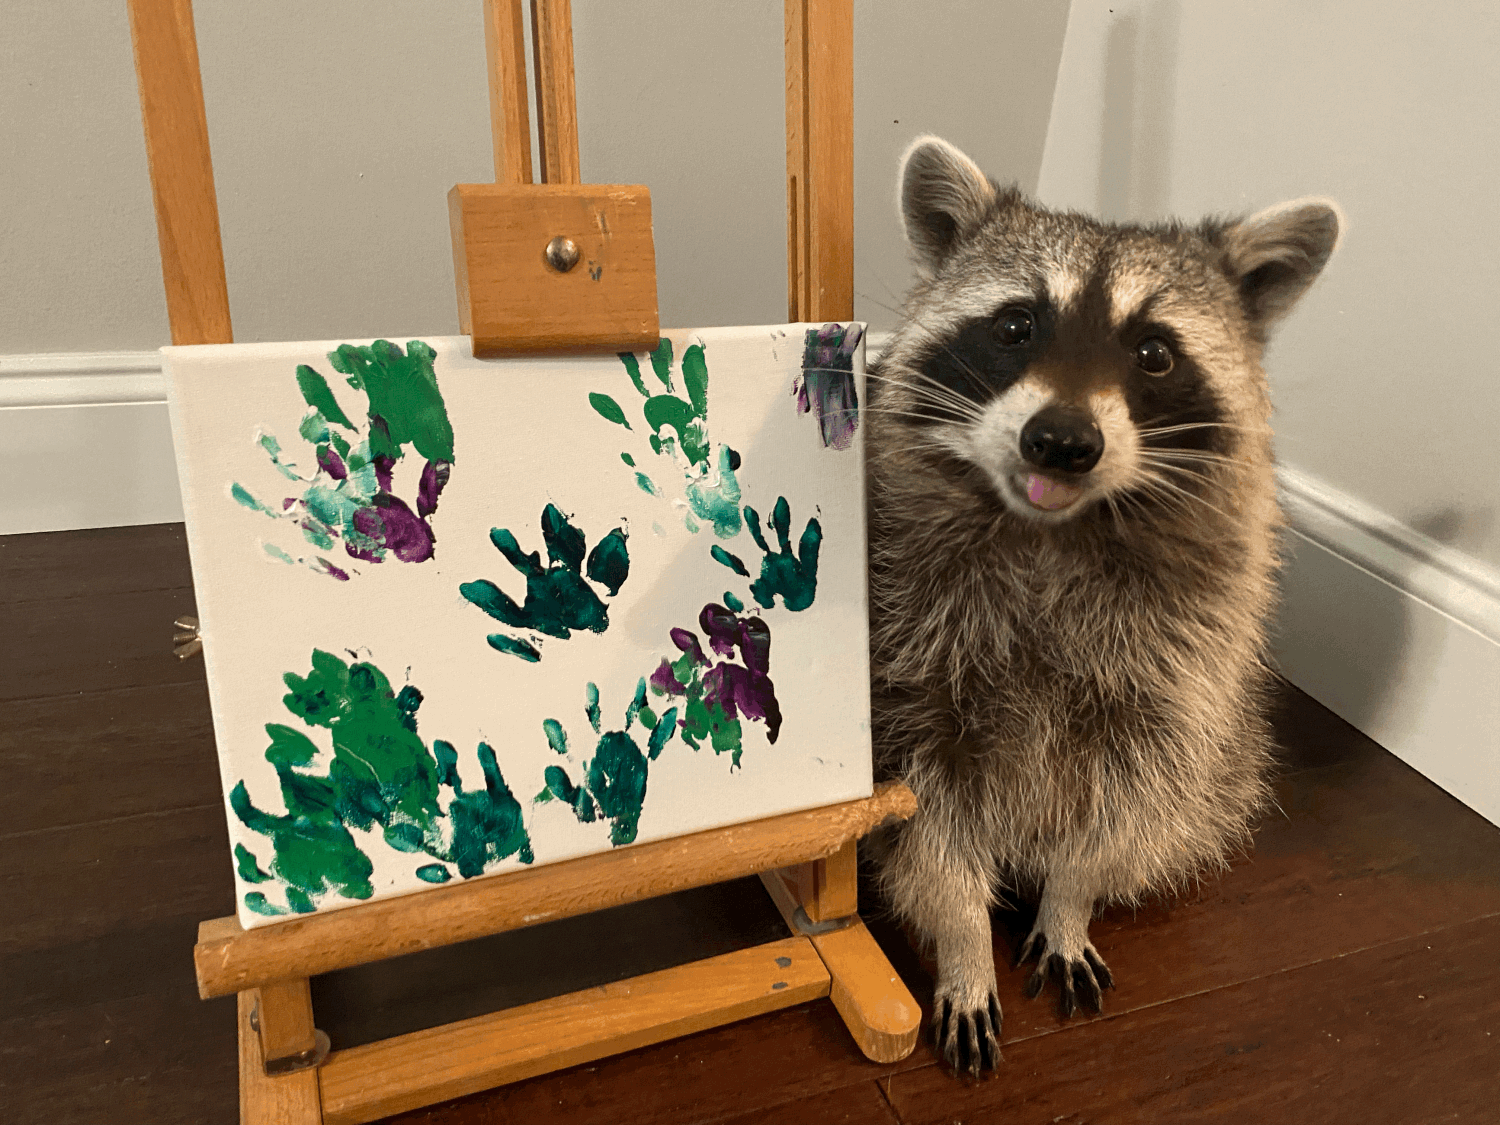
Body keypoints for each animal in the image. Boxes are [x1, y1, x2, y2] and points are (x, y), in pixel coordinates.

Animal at [865, 136, 1341, 1075]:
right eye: (1016, 325)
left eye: (1154, 352)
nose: (1061, 440)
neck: (1051, 533)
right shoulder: (907, 664)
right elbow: (926, 820)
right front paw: (962, 934)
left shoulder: (1184, 661)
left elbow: (1140, 789)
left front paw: (1072, 895)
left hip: (1229, 761)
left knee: (1190, 805)